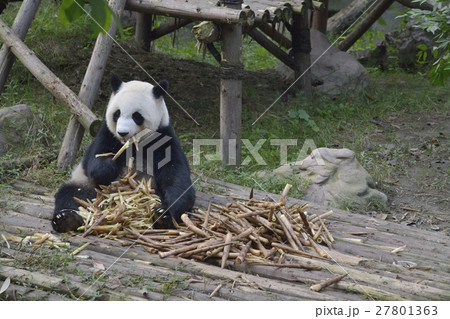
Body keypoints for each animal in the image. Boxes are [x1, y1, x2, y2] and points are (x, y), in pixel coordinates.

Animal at [51, 74, 195, 232]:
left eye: (137, 116)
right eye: (117, 113)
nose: (123, 133)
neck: (134, 144)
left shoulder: (163, 137)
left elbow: (175, 176)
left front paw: (165, 212)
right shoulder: (107, 134)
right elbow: (95, 162)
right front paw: (109, 167)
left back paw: (161, 217)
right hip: (86, 184)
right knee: (71, 195)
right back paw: (67, 219)